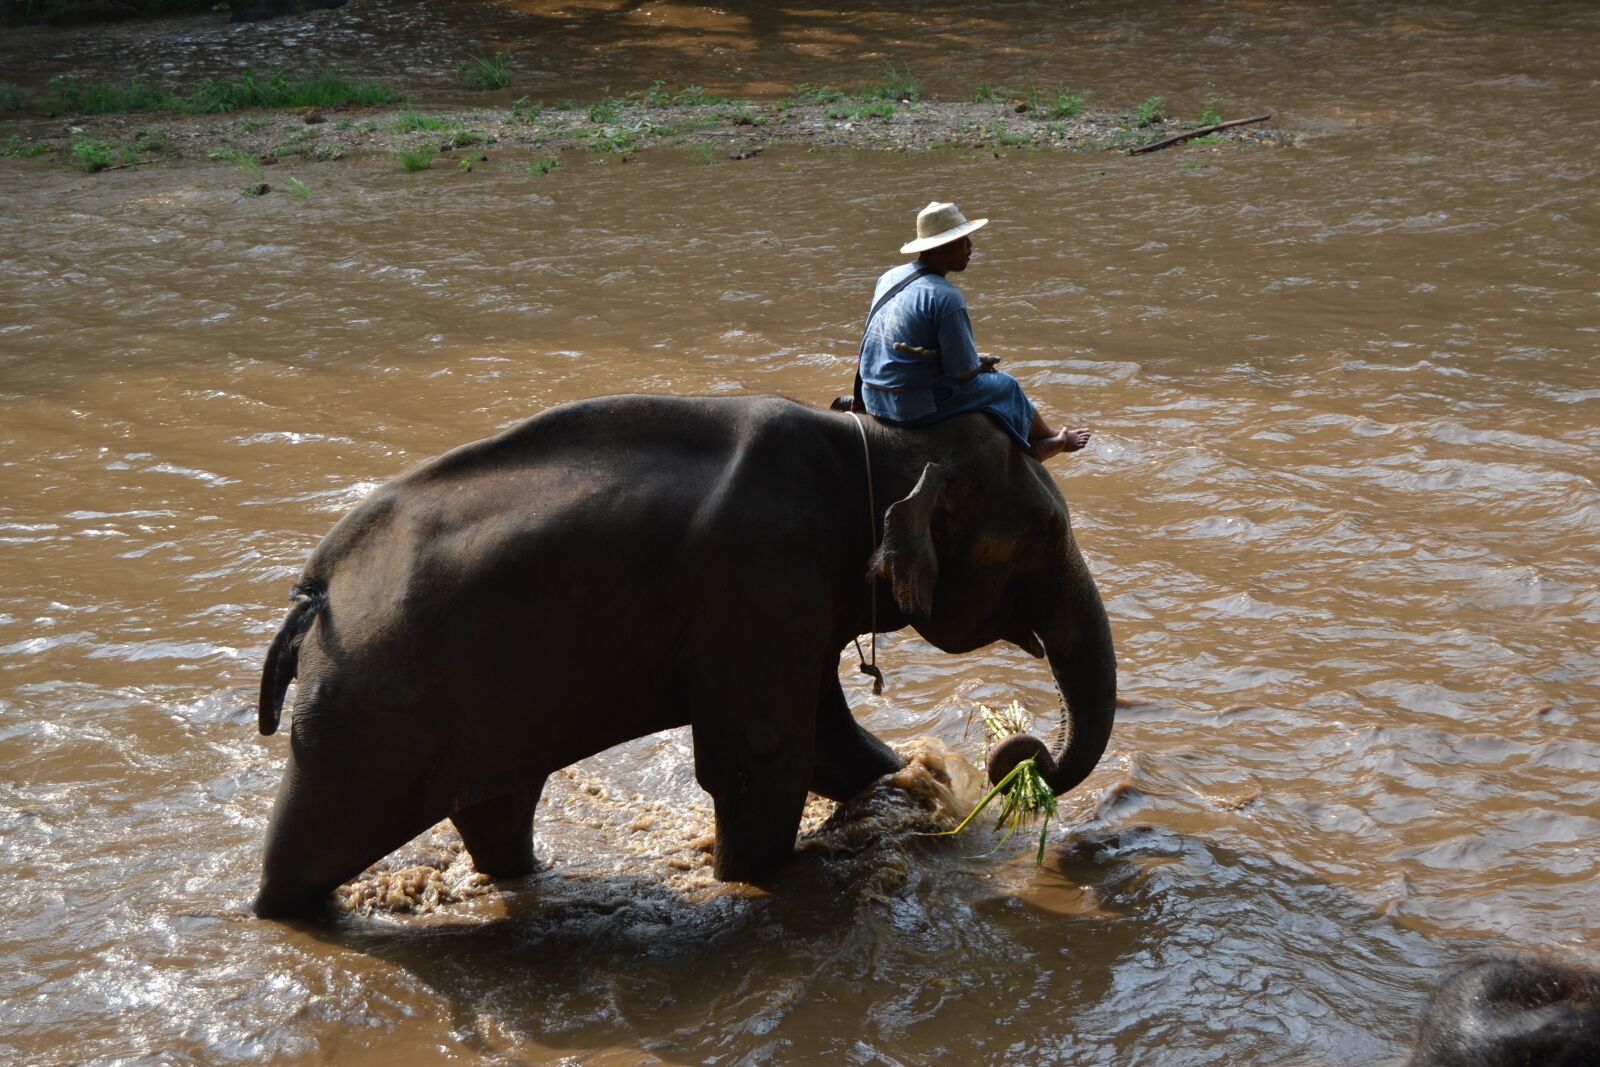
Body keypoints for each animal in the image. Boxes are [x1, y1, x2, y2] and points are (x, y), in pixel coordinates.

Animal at [251, 394, 1117, 918]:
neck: (870, 445)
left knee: (495, 812)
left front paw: (909, 784)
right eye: (1046, 533)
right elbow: (761, 763)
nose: (1019, 754)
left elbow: (834, 748)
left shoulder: (793, 612)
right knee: (307, 849)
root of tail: (314, 592)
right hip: (362, 717)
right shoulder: (762, 587)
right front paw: (751, 878)